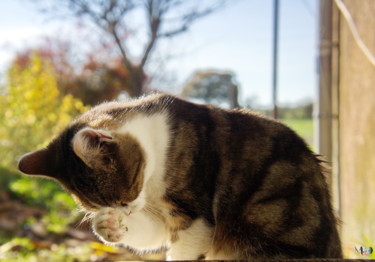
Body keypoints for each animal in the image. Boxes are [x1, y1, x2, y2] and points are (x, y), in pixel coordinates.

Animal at [17, 93, 342, 258]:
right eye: (103, 204)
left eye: (128, 190)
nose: (126, 209)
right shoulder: (161, 220)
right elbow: (150, 234)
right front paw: (107, 225)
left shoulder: (195, 216)